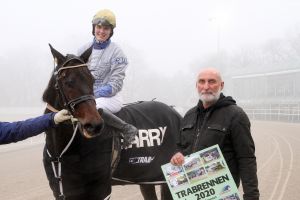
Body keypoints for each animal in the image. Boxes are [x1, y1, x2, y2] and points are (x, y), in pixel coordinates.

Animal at [41, 45, 182, 200]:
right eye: (68, 82)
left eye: (92, 80)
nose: (94, 126)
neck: (61, 153)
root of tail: (174, 112)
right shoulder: (64, 191)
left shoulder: (100, 188)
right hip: (146, 178)